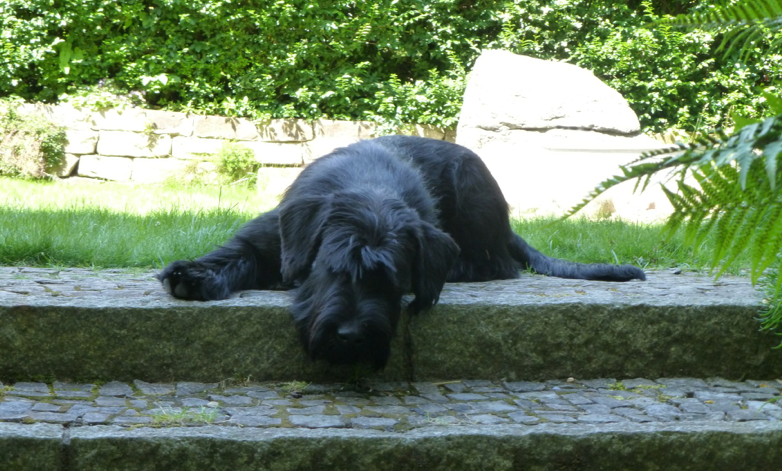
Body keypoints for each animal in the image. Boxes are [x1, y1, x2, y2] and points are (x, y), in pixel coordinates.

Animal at [158, 136, 644, 368]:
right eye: (332, 268)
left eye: (392, 279)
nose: (351, 337)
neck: (368, 190)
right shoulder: (269, 238)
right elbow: (235, 254)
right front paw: (193, 275)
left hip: (471, 183)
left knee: (497, 264)